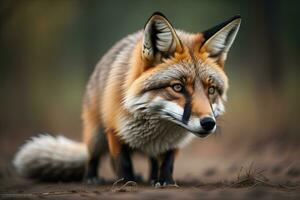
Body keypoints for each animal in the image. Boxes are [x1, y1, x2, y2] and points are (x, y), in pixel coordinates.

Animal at [13, 12, 241, 187]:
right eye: (177, 87)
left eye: (211, 90)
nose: (208, 123)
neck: (158, 127)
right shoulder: (115, 130)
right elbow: (122, 161)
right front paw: (127, 182)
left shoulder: (173, 142)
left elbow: (167, 162)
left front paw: (165, 181)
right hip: (96, 134)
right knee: (92, 157)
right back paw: (93, 177)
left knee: (152, 161)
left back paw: (151, 178)